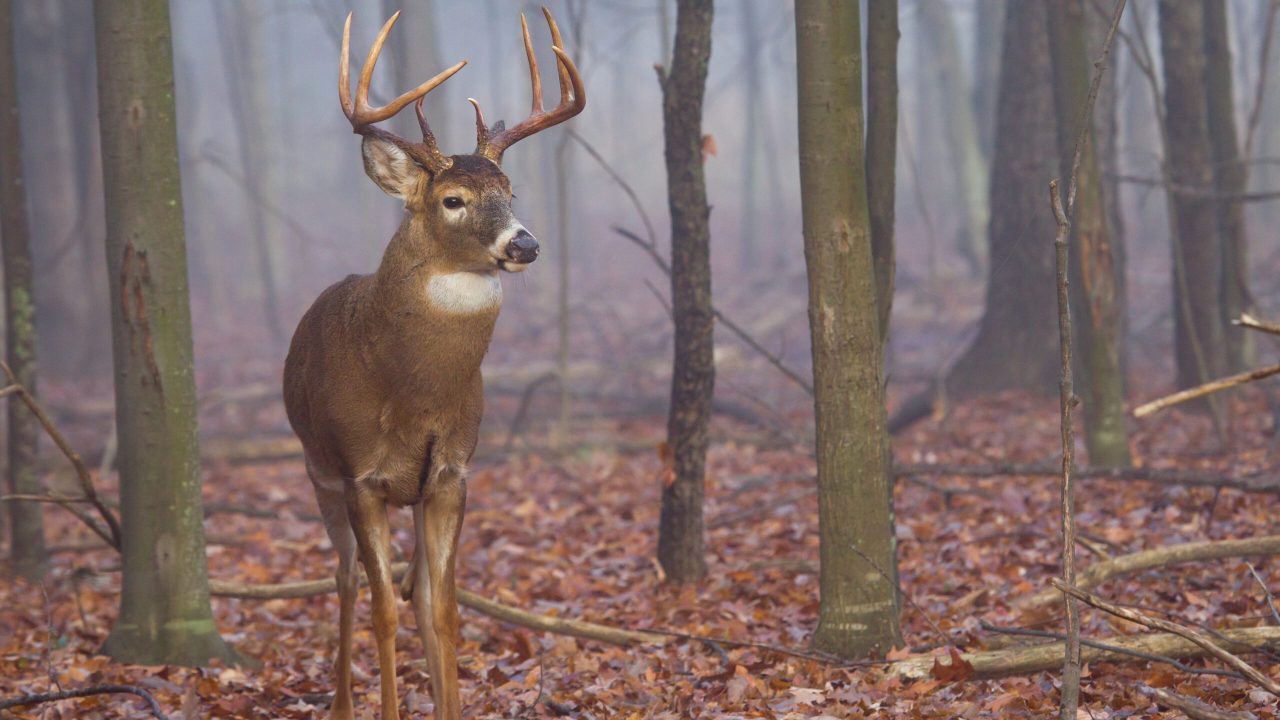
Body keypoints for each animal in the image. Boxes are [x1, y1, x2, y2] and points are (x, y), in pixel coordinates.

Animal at [282, 9, 584, 719]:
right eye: (452, 200)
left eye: (509, 191)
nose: (525, 243)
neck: (410, 388)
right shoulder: (360, 476)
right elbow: (385, 612)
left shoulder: (450, 473)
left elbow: (439, 611)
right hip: (317, 471)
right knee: (344, 580)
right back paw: (340, 704)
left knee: (412, 590)